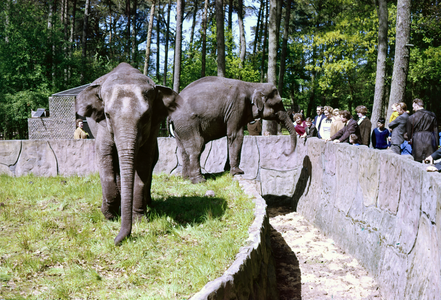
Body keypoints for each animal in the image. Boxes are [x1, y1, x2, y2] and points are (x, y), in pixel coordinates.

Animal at [75, 62, 180, 244]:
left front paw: (139, 219)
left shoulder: (152, 129)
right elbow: (105, 155)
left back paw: (147, 203)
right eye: (107, 115)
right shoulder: (102, 126)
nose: (116, 241)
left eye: (146, 116)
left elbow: (144, 162)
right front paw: (109, 215)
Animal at [168, 75, 296, 183]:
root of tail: (171, 115)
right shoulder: (238, 106)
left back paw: (186, 179)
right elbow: (235, 135)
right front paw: (238, 172)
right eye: (278, 103)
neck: (253, 85)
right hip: (187, 122)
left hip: (180, 128)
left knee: (183, 150)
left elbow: (230, 137)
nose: (285, 153)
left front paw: (228, 172)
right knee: (197, 147)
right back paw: (199, 181)